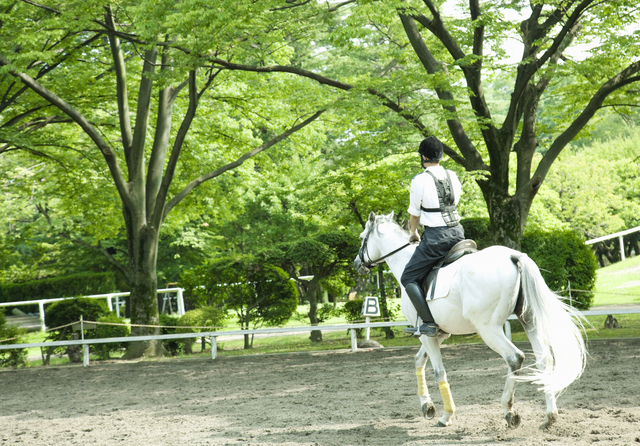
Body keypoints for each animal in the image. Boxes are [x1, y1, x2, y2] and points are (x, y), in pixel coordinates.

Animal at [353, 212, 586, 430]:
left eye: (362, 237)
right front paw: (427, 406)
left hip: (488, 329)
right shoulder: (439, 333)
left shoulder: (427, 333)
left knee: (514, 357)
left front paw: (446, 415)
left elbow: (438, 370)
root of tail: (513, 255)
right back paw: (550, 417)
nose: (357, 263)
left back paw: (509, 411)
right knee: (545, 360)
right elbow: (419, 360)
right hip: (529, 320)